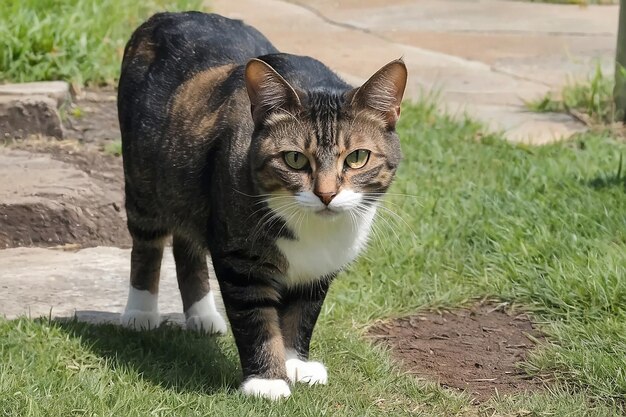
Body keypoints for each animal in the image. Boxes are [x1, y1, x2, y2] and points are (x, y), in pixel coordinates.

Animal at [118, 11, 404, 398]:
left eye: (357, 157)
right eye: (295, 159)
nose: (326, 194)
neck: (315, 229)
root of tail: (170, 14)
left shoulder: (319, 268)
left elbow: (302, 312)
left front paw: (296, 363)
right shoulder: (242, 257)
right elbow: (256, 316)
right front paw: (267, 382)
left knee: (187, 241)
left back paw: (203, 315)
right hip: (145, 178)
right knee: (148, 240)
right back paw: (141, 311)